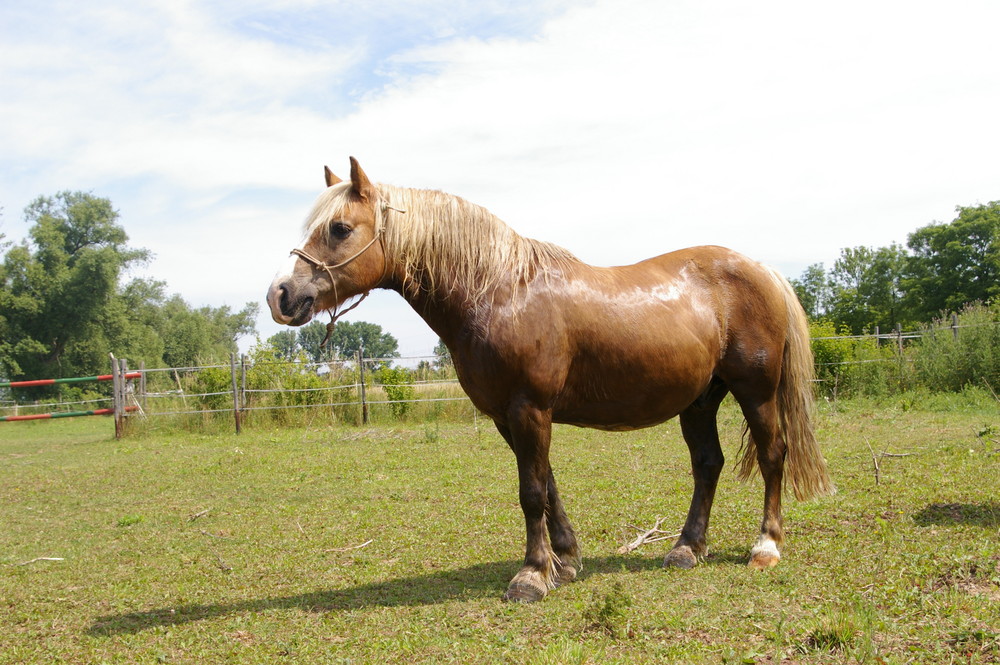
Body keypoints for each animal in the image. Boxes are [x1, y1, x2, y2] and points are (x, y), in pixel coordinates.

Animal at [268, 157, 836, 600]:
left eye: (340, 228)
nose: (281, 296)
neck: (499, 291)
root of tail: (762, 268)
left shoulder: (530, 408)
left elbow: (532, 492)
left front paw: (532, 577)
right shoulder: (510, 416)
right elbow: (547, 486)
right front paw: (564, 561)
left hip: (755, 392)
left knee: (773, 456)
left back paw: (766, 546)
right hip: (699, 401)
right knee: (707, 465)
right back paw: (685, 548)